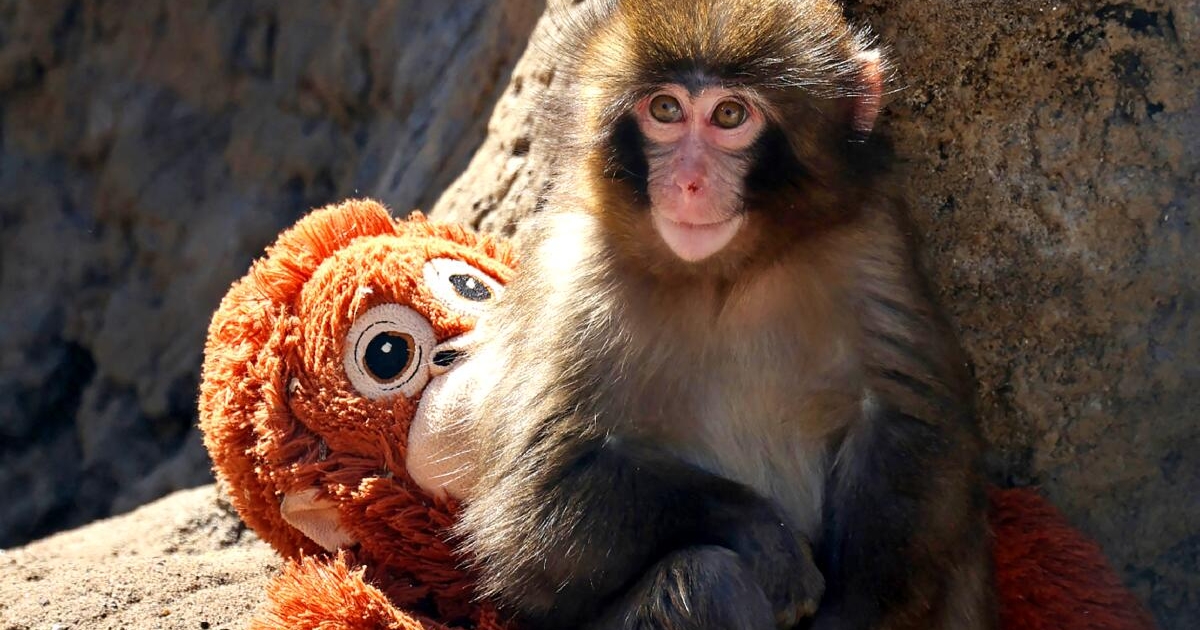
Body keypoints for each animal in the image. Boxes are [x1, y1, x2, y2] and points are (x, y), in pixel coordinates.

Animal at [451, 0, 997, 628]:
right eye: (665, 109)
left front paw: (851, 611)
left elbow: (908, 424)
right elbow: (536, 504)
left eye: (730, 115)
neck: (724, 275)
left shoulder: (870, 240)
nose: (689, 182)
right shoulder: (573, 274)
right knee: (703, 578)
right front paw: (764, 534)